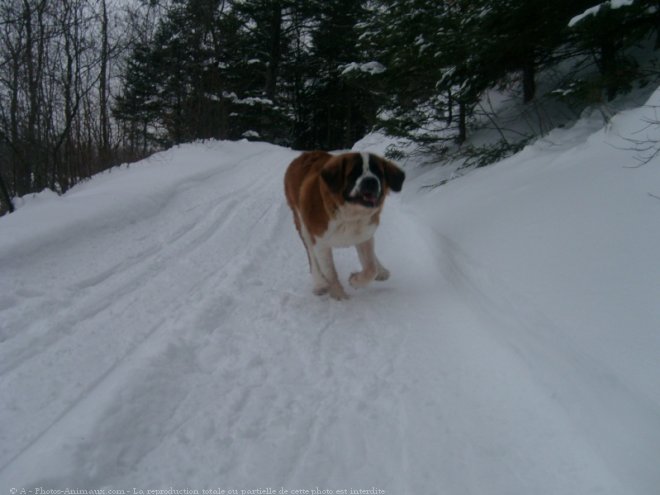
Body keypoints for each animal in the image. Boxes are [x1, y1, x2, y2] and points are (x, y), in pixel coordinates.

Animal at [282, 149, 402, 300]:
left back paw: (381, 270)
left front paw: (355, 280)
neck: (350, 215)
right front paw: (339, 296)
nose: (371, 181)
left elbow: (370, 268)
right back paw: (320, 284)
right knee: (312, 256)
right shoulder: (320, 242)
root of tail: (304, 154)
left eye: (379, 173)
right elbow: (330, 273)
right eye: (354, 173)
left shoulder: (364, 236)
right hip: (303, 226)